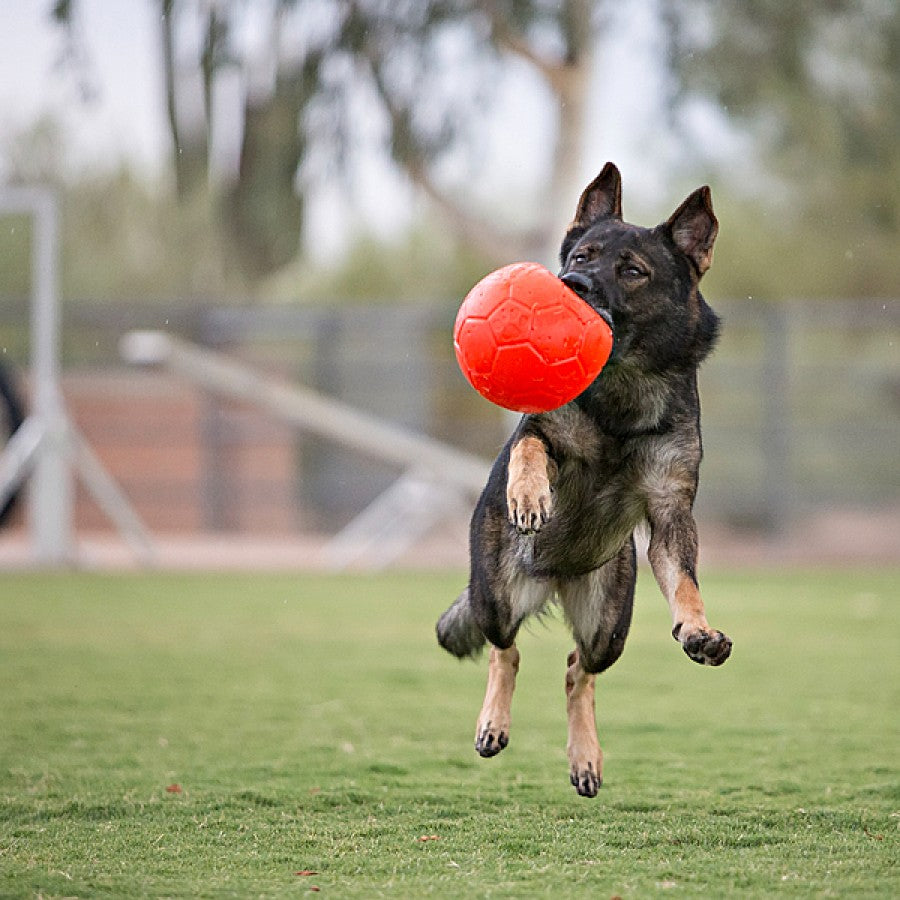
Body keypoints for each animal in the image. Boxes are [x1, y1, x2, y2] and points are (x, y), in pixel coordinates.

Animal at [440, 165, 736, 800]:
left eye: (633, 270)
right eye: (582, 255)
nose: (571, 283)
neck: (622, 393)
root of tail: (553, 579)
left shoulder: (670, 513)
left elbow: (686, 583)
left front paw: (698, 630)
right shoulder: (541, 430)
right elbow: (530, 444)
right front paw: (529, 494)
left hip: (608, 625)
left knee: (578, 669)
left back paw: (585, 758)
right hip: (494, 595)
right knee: (505, 651)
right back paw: (493, 723)